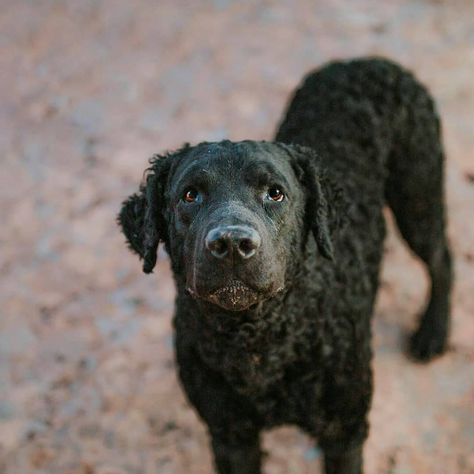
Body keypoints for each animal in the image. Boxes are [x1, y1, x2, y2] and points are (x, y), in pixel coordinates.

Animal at [117, 57, 452, 472]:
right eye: (190, 195)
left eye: (275, 193)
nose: (232, 243)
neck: (257, 342)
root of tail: (367, 60)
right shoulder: (231, 435)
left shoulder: (345, 431)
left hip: (418, 192)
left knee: (442, 260)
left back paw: (433, 332)